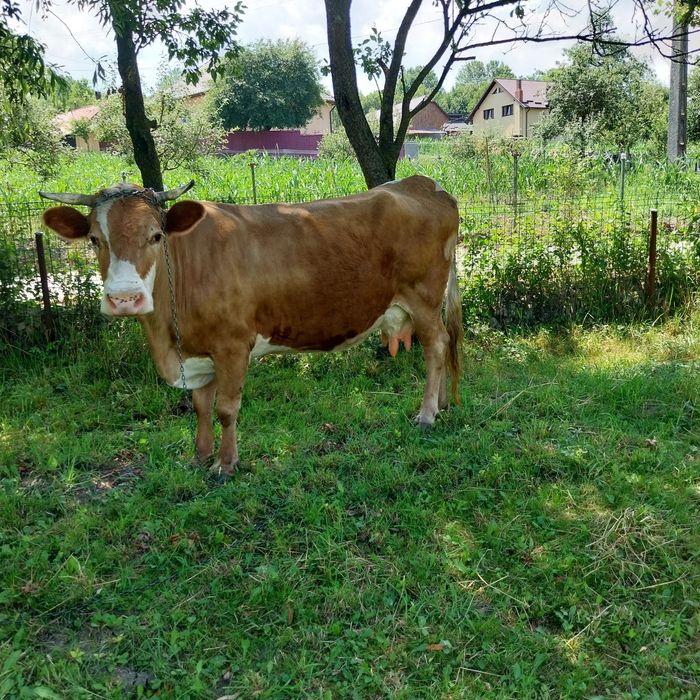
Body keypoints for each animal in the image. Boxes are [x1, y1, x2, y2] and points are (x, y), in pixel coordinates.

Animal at [40, 175, 463, 475]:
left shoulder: (232, 345)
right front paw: (199, 456)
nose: (125, 298)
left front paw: (226, 464)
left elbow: (226, 408)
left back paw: (427, 413)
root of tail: (421, 183)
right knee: (441, 348)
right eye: (95, 239)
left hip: (424, 298)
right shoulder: (200, 352)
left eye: (156, 236)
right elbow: (201, 406)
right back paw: (442, 404)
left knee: (437, 346)